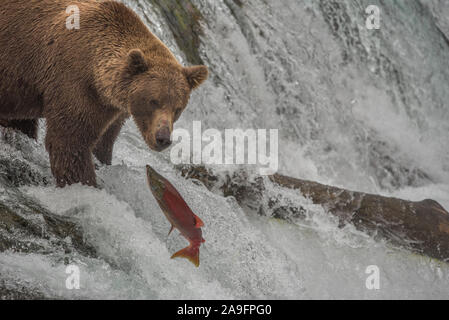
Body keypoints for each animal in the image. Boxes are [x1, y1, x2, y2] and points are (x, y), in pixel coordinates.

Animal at [0, 0, 206, 186]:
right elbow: (70, 142)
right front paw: (85, 182)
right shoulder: (74, 84)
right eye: (153, 101)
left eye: (178, 108)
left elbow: (103, 142)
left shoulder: (112, 109)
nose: (163, 138)